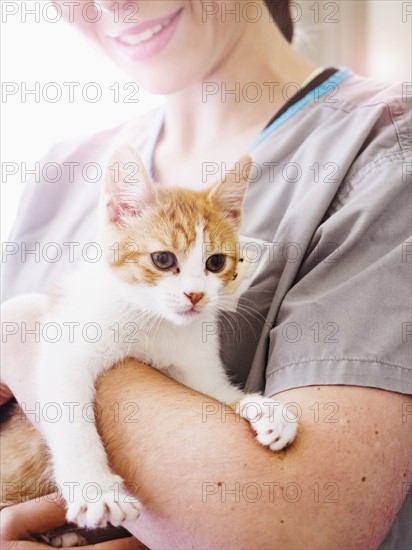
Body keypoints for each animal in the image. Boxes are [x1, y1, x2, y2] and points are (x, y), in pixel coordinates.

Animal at [31, 147, 296, 532]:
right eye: (162, 259)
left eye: (216, 262)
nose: (195, 295)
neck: (154, 323)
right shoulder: (65, 350)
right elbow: (70, 418)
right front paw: (95, 488)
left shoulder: (195, 367)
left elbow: (217, 394)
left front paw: (264, 409)